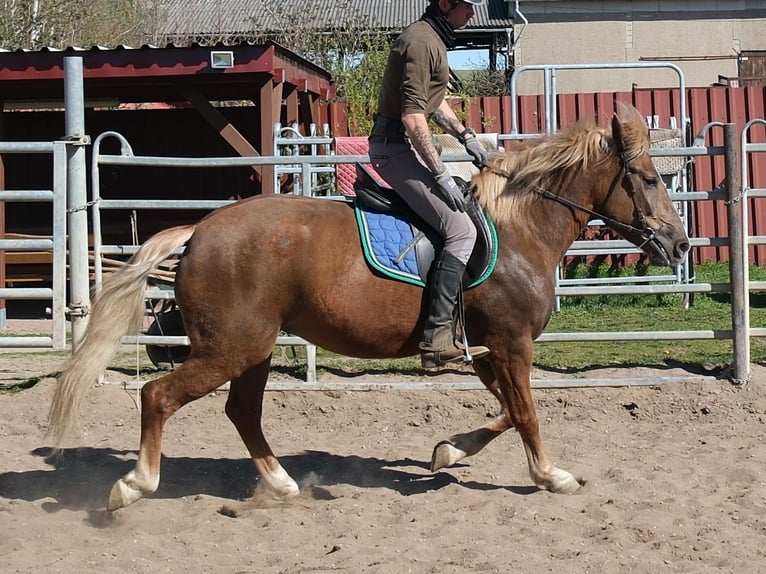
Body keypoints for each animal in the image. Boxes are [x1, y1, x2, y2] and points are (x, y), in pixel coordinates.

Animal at [49, 104, 690, 511]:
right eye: (648, 178)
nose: (681, 244)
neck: (518, 230)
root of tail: (201, 230)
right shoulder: (512, 345)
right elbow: (527, 413)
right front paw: (551, 476)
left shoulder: (489, 351)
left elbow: (509, 412)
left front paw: (447, 451)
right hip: (229, 348)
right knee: (159, 396)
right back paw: (134, 486)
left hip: (252, 349)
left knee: (242, 412)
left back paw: (282, 484)